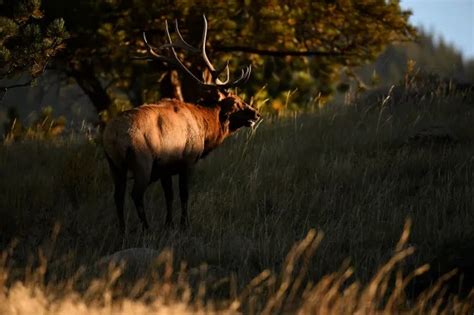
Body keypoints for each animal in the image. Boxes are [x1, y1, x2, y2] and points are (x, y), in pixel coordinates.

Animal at [102, 15, 262, 232]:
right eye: (236, 101)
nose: (256, 113)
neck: (204, 129)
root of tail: (113, 138)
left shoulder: (165, 167)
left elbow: (169, 196)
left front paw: (169, 223)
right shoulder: (188, 159)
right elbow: (184, 194)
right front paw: (184, 223)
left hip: (114, 165)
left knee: (117, 197)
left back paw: (122, 231)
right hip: (142, 160)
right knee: (135, 195)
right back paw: (146, 228)